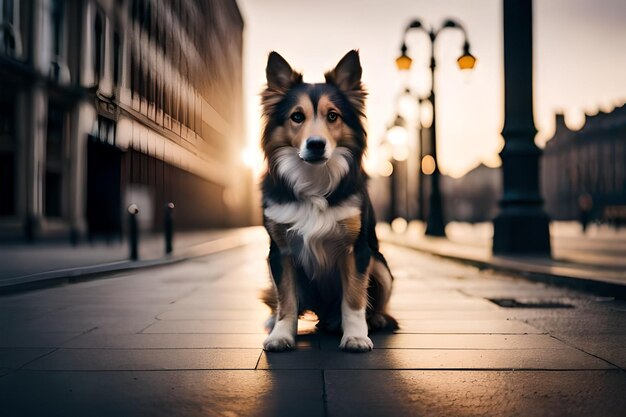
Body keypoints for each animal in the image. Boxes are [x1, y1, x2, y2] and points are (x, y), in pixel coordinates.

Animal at [258, 50, 394, 352]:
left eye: (333, 115)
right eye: (297, 116)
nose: (316, 144)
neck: (314, 178)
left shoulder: (357, 251)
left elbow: (354, 298)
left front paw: (355, 336)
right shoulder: (280, 252)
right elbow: (286, 299)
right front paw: (281, 335)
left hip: (380, 265)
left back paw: (373, 320)